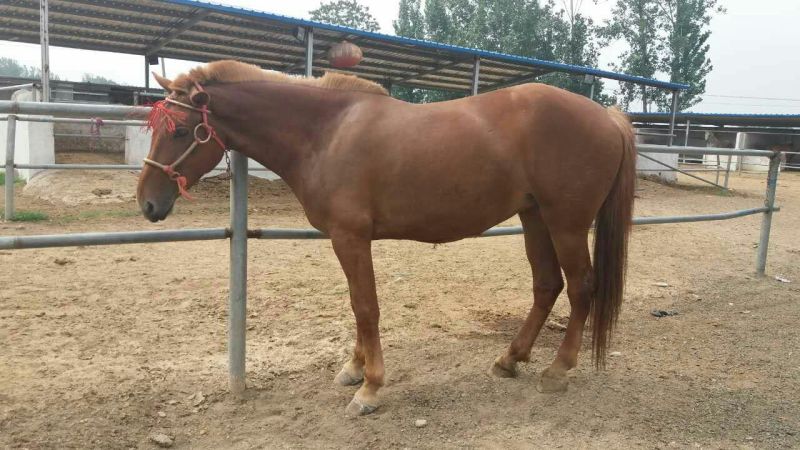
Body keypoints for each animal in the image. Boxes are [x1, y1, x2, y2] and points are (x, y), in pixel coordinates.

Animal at [137, 60, 636, 416]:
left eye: (180, 130)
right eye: (157, 127)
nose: (147, 203)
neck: (326, 133)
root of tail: (607, 115)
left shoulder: (351, 237)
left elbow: (365, 306)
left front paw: (370, 388)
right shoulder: (346, 241)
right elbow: (357, 305)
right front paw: (354, 370)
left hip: (566, 222)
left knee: (581, 287)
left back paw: (558, 370)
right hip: (535, 217)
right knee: (547, 285)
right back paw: (509, 359)